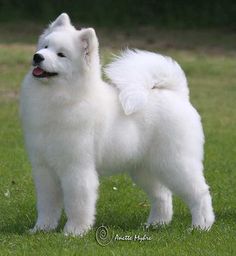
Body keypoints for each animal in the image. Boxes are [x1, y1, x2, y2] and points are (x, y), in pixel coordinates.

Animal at [20, 13, 214, 236]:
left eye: (61, 55)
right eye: (45, 46)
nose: (37, 57)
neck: (61, 98)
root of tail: (178, 95)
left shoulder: (76, 167)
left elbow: (77, 203)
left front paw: (74, 231)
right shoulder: (44, 169)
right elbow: (47, 204)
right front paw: (41, 229)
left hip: (175, 162)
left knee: (199, 192)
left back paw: (201, 225)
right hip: (144, 168)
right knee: (163, 195)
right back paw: (156, 224)